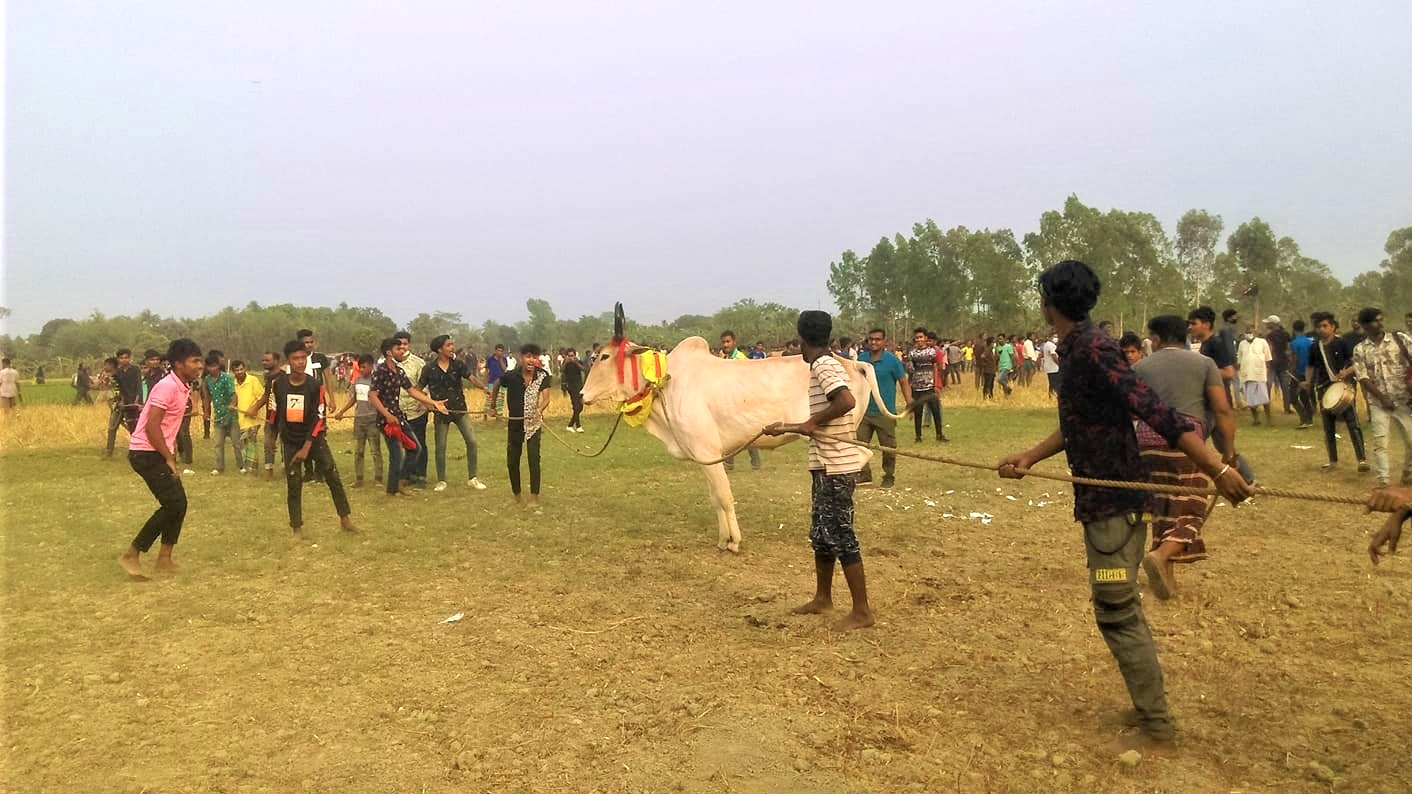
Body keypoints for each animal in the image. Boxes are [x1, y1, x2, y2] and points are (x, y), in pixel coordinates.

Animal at [581, 303, 903, 550]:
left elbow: (724, 496)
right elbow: (715, 499)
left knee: (859, 459)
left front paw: (733, 541)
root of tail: (853, 363)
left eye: (605, 356)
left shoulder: (707, 451)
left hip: (837, 436)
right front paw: (723, 539)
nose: (582, 395)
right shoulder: (705, 458)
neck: (665, 384)